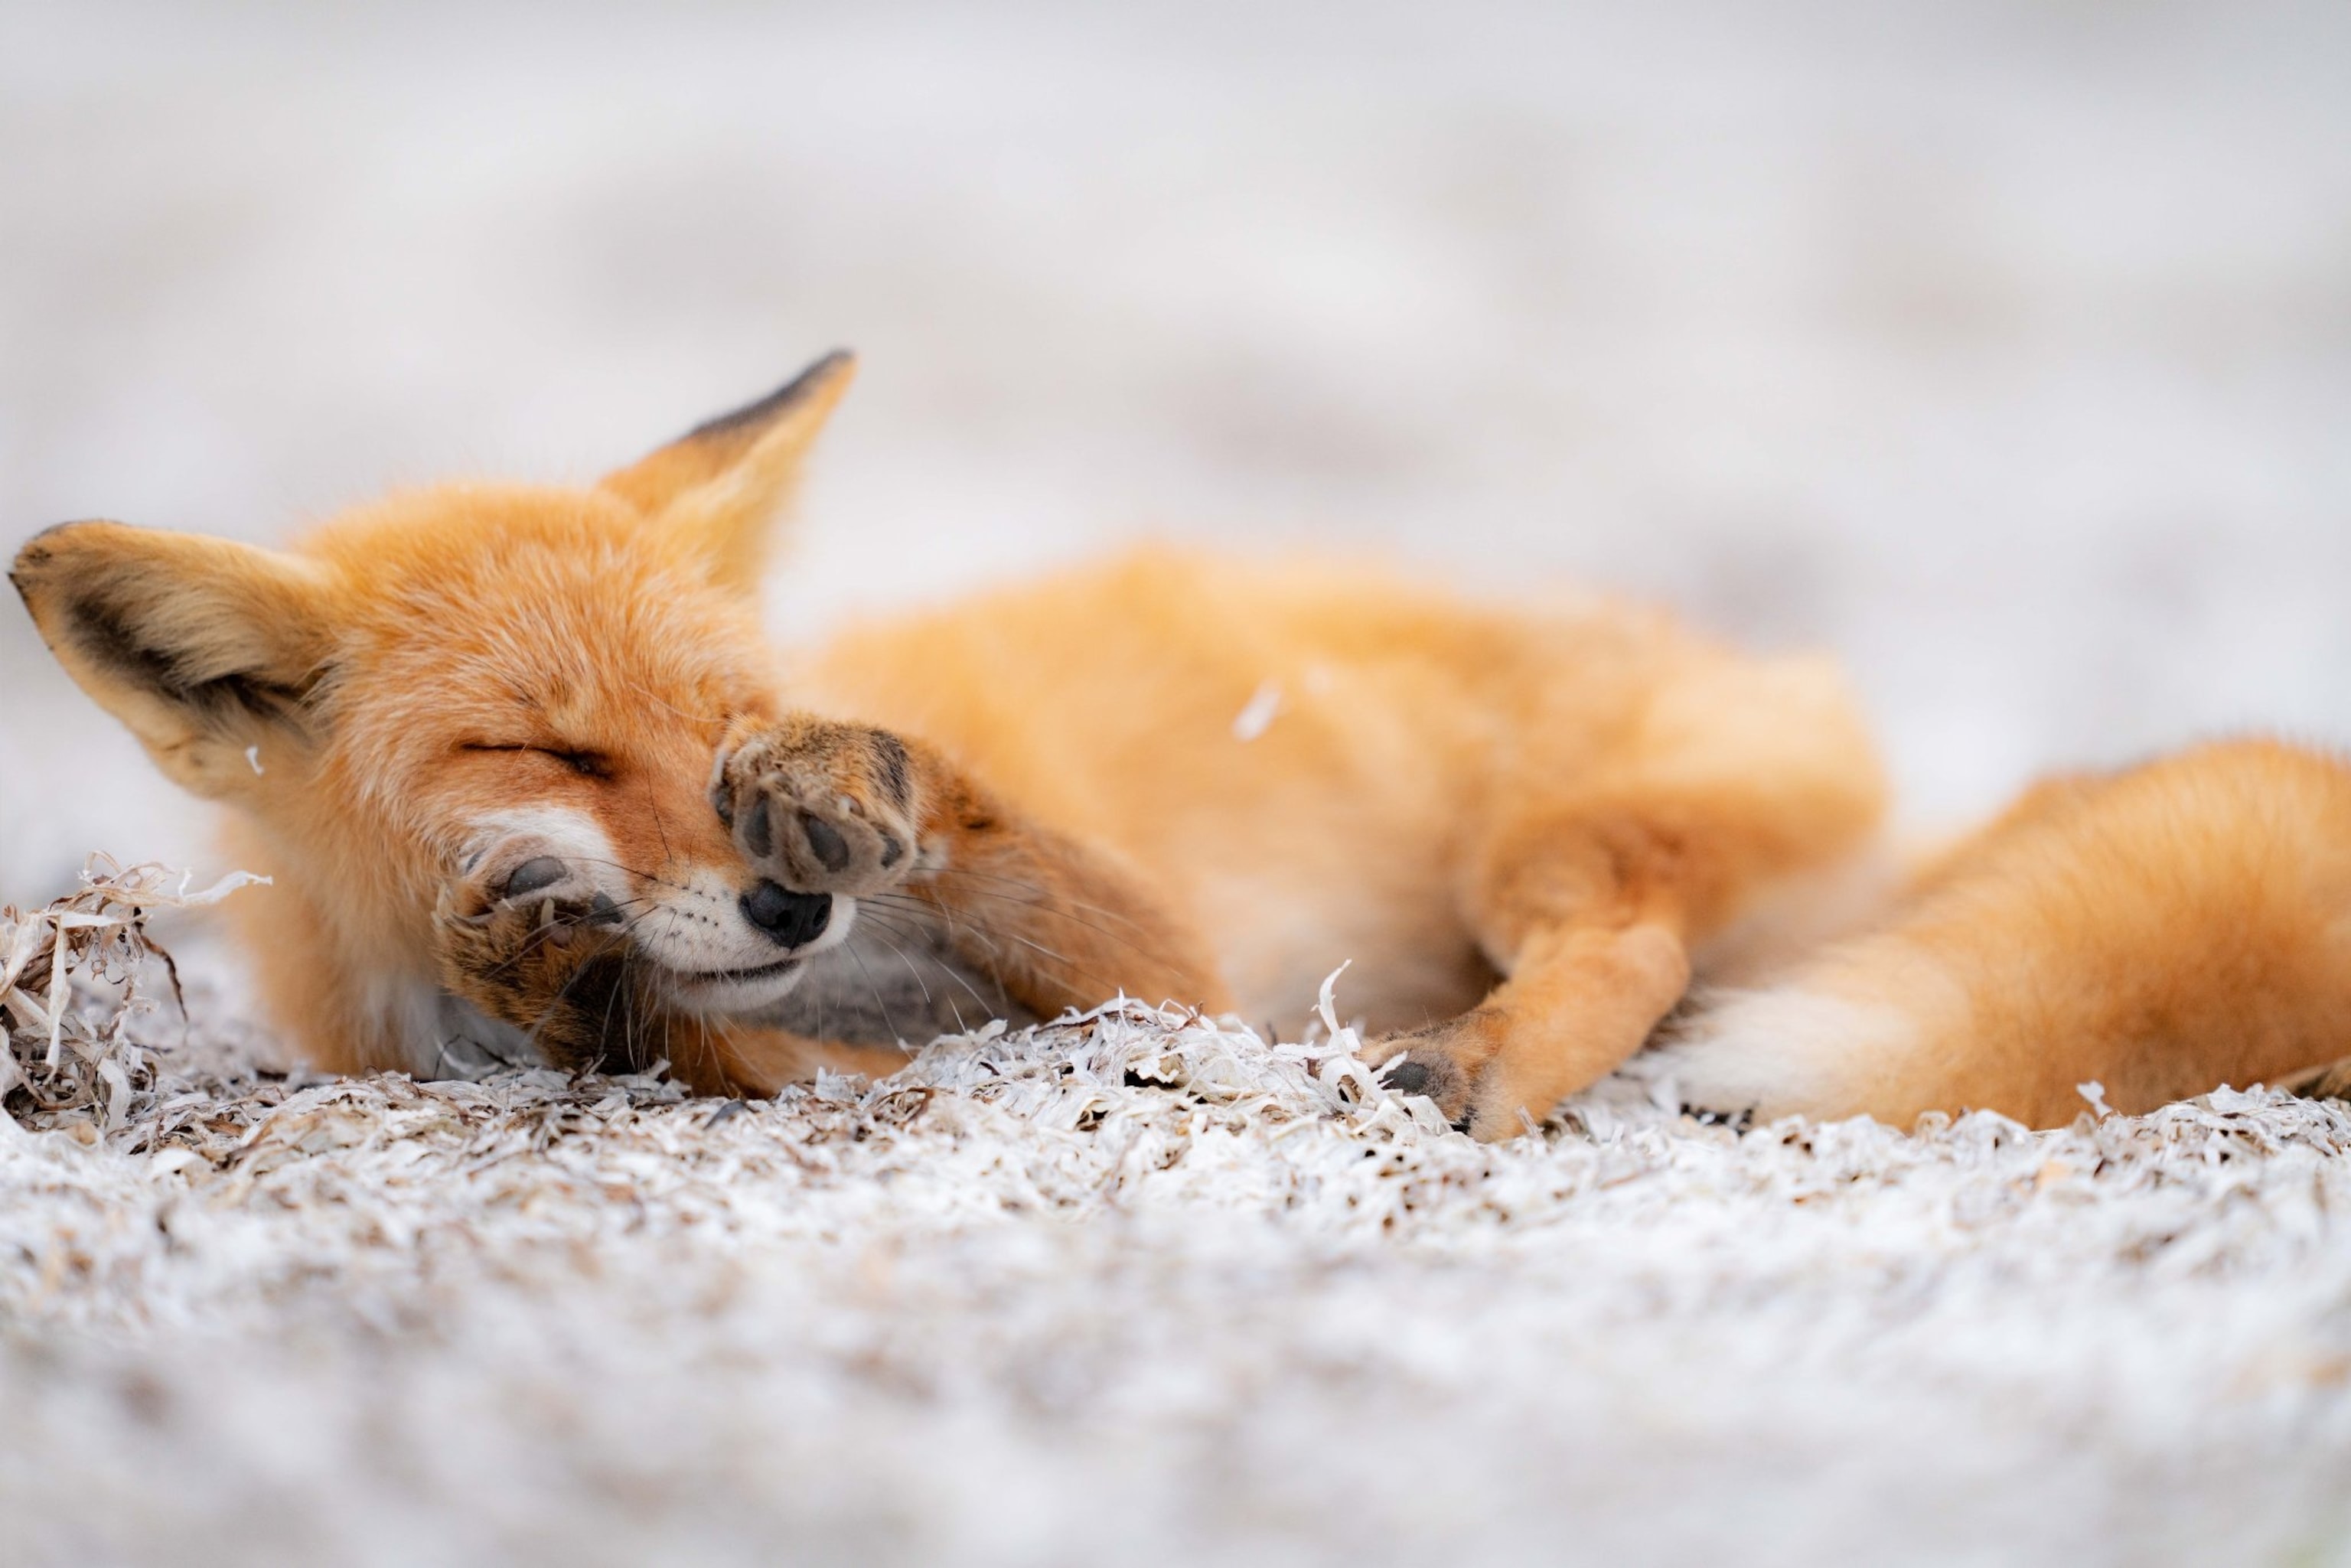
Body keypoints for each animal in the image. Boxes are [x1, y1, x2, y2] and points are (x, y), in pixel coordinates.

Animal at [12, 351, 2351, 1140]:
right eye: (549, 748)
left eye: (723, 723)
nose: (781, 896)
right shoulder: (824, 1047)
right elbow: (702, 1038)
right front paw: (572, 972)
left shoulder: (1166, 976)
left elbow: (1037, 871)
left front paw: (884, 786)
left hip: (1543, 846)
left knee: (1639, 950)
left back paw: (1488, 1066)